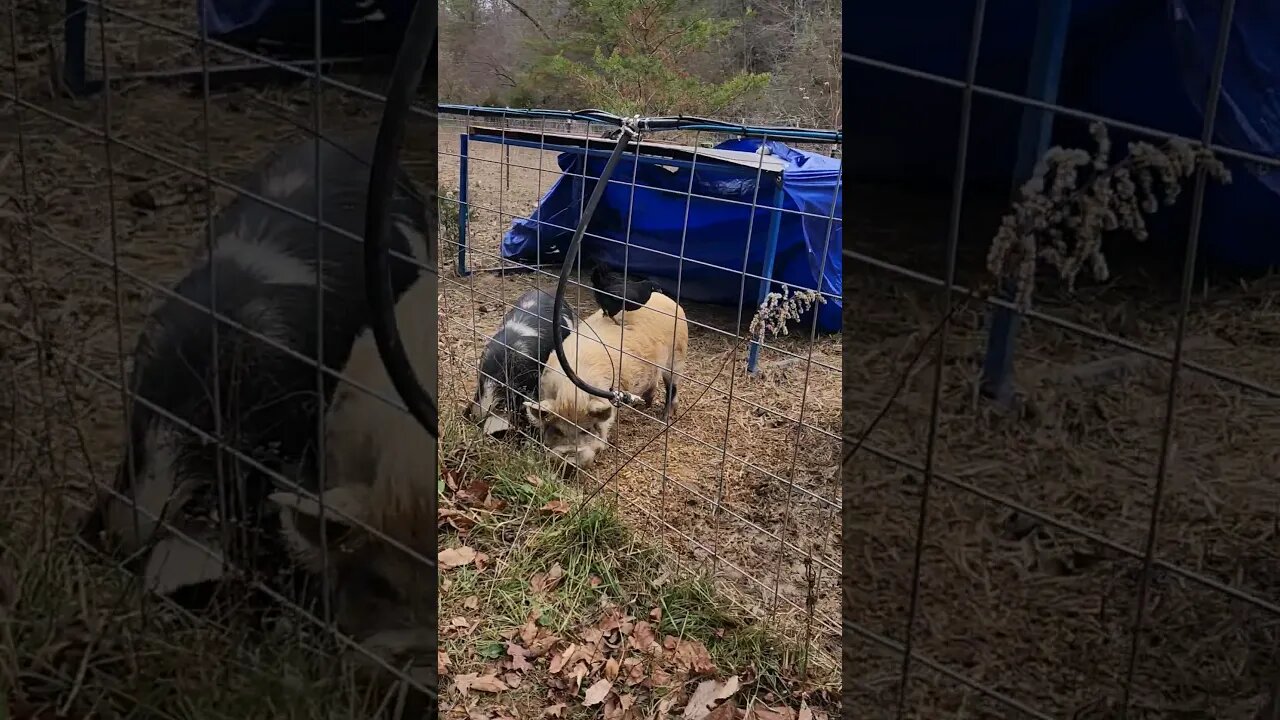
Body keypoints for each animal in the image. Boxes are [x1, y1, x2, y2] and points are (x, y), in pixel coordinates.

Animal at [524, 288, 691, 468]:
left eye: (586, 430)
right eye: (557, 430)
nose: (569, 458)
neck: (571, 392)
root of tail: (665, 298)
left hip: (677, 356)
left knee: (672, 386)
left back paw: (665, 417)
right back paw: (644, 405)